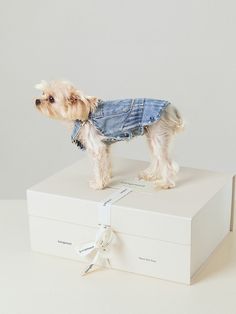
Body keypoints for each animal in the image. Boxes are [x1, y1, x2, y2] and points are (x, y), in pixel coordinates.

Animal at [34, 79, 184, 190]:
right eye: (43, 93)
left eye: (51, 99)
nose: (37, 101)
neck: (82, 114)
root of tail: (171, 108)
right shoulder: (105, 147)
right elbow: (105, 165)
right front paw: (106, 179)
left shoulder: (96, 148)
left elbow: (98, 168)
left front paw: (99, 184)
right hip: (153, 137)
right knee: (157, 158)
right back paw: (151, 175)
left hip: (159, 136)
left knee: (167, 163)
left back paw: (166, 183)